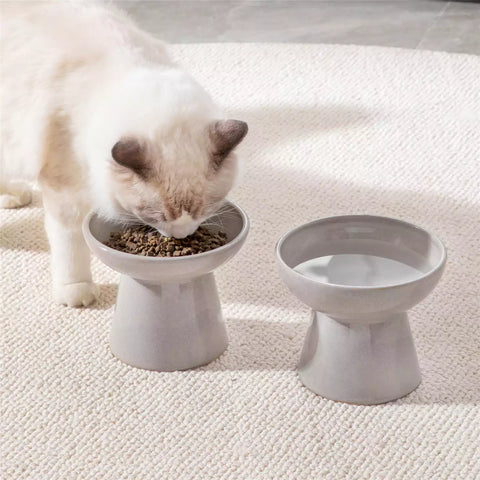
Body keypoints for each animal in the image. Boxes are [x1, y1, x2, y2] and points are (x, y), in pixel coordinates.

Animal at [0, 0, 248, 307]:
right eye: (155, 215)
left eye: (206, 210)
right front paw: (76, 290)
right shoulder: (65, 189)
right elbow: (70, 245)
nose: (181, 235)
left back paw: (12, 195)